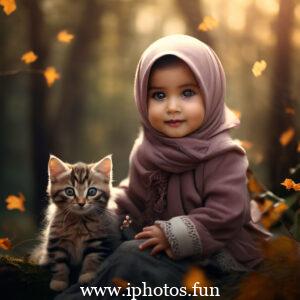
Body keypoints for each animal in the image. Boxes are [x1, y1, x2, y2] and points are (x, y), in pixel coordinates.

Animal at [31, 155, 120, 290]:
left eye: (92, 192)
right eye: (69, 192)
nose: (81, 203)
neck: (79, 221)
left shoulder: (98, 241)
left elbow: (92, 259)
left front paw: (87, 275)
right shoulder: (57, 242)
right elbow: (59, 264)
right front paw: (59, 281)